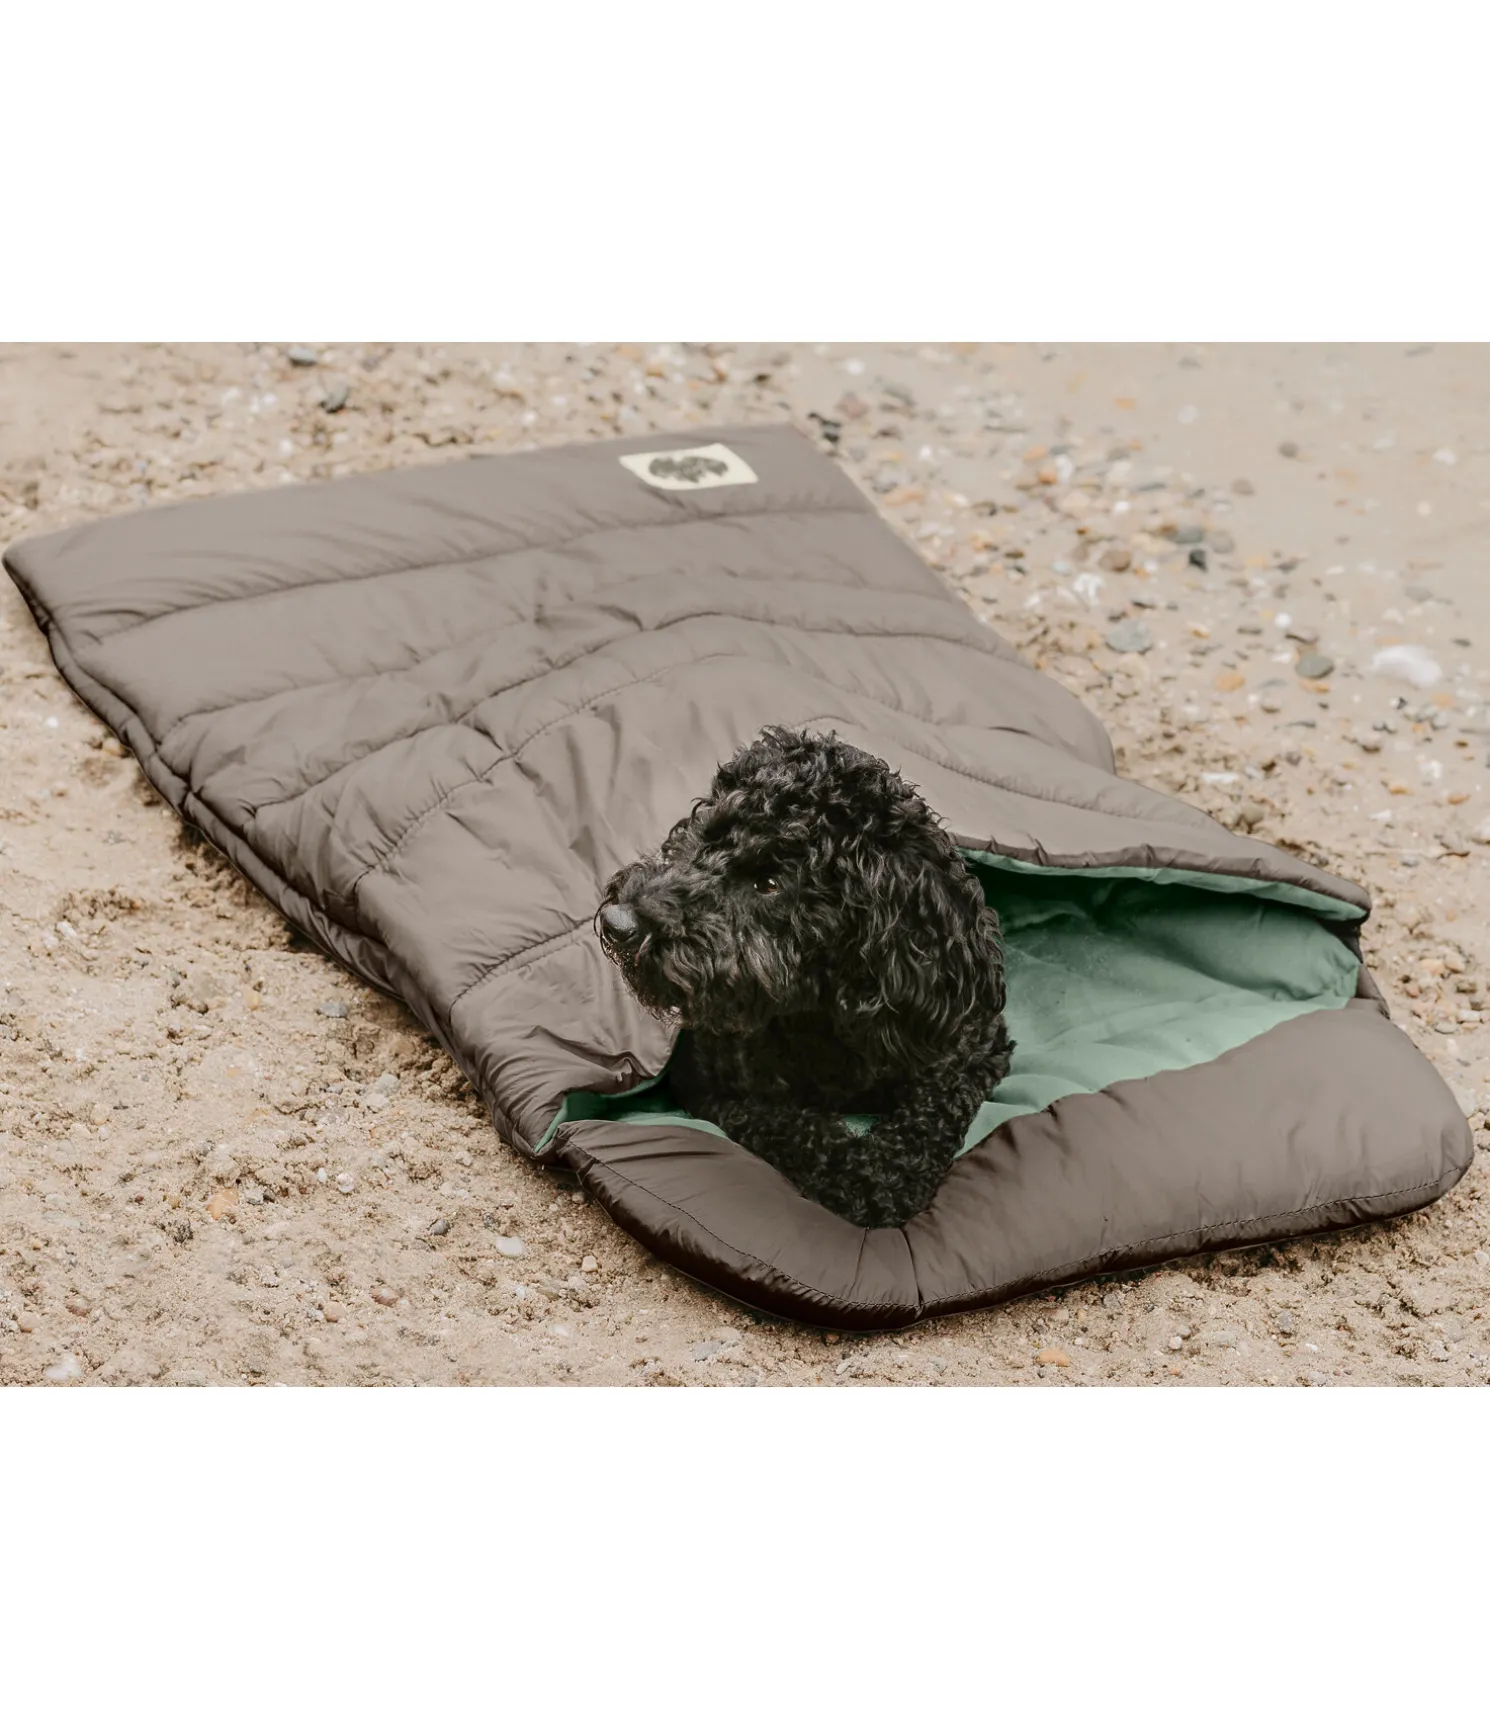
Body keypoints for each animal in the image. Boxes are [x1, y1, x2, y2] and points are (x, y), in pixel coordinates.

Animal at [597, 726, 1013, 1228]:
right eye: (702, 834)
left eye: (770, 884)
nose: (619, 923)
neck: (819, 1012)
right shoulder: (709, 1080)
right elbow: (792, 1128)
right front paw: (856, 1173)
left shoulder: (971, 1040)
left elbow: (932, 1114)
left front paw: (888, 1177)